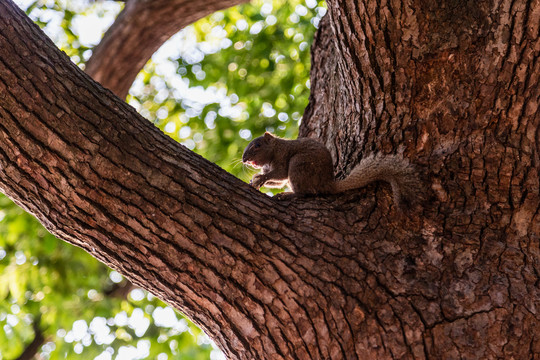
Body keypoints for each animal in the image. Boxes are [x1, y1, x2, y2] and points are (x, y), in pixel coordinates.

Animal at [242, 132, 422, 207]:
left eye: (257, 145)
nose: (244, 159)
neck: (274, 149)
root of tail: (327, 184)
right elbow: (277, 181)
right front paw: (256, 179)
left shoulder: (282, 157)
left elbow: (279, 174)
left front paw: (261, 178)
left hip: (298, 165)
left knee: (306, 193)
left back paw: (288, 195)